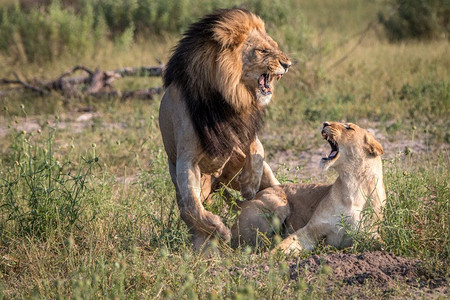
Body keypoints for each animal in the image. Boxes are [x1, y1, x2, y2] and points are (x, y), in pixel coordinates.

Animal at [159, 8, 292, 250]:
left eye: (274, 45)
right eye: (262, 50)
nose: (287, 64)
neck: (229, 97)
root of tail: (219, 182)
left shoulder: (244, 132)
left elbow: (258, 151)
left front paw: (249, 184)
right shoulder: (187, 159)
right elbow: (193, 205)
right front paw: (218, 229)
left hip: (257, 177)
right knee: (188, 209)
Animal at [232, 120, 386, 254]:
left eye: (349, 127)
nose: (325, 123)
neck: (352, 184)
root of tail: (241, 203)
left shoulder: (370, 234)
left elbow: (383, 245)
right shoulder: (311, 230)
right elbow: (284, 245)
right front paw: (265, 258)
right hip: (278, 204)